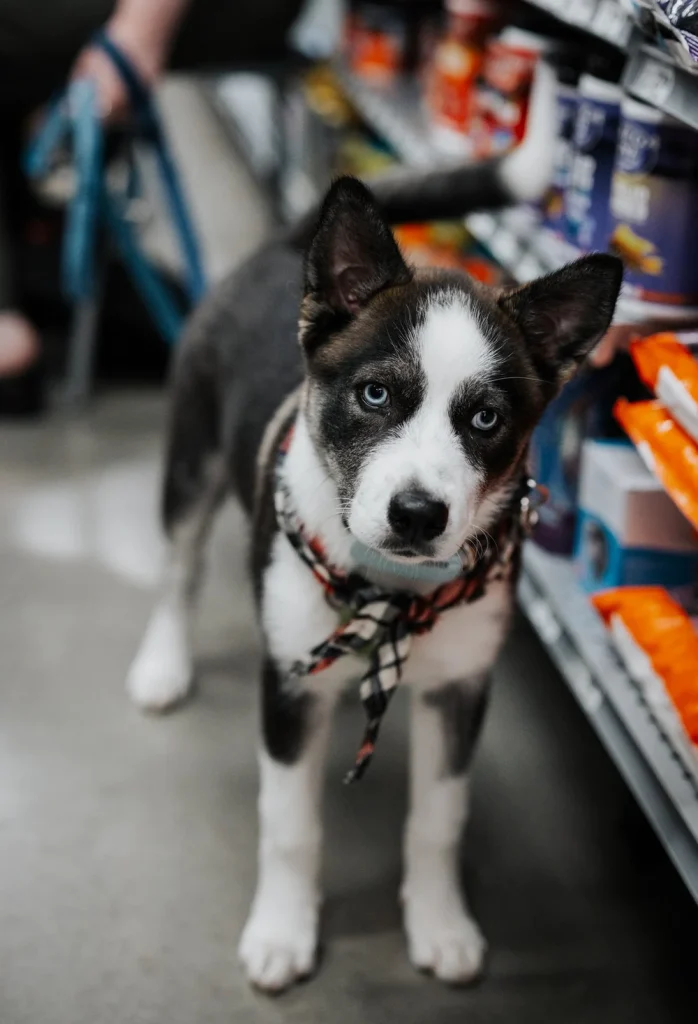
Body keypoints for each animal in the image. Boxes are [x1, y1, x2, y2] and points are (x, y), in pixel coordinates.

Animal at [126, 69, 622, 993]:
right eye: (376, 395)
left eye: (486, 418)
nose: (418, 514)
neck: (391, 596)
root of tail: (291, 244)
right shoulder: (288, 684)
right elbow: (290, 825)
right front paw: (282, 931)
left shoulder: (461, 689)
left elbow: (438, 822)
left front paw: (442, 925)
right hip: (192, 458)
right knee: (179, 569)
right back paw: (162, 665)